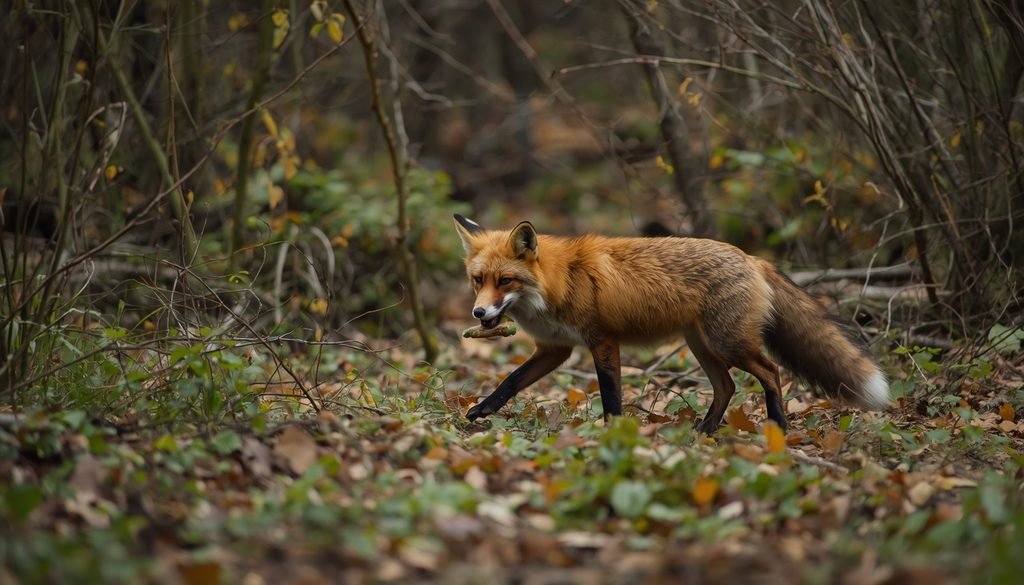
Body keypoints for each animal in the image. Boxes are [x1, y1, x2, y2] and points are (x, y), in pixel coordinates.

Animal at [453, 214, 889, 433]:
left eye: (505, 281)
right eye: (477, 280)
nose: (479, 314)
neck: (562, 281)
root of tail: (751, 257)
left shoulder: (602, 340)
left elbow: (611, 395)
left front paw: (613, 435)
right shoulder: (555, 349)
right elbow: (511, 381)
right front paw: (481, 411)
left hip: (727, 343)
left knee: (771, 371)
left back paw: (777, 426)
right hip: (702, 346)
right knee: (727, 386)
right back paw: (704, 431)